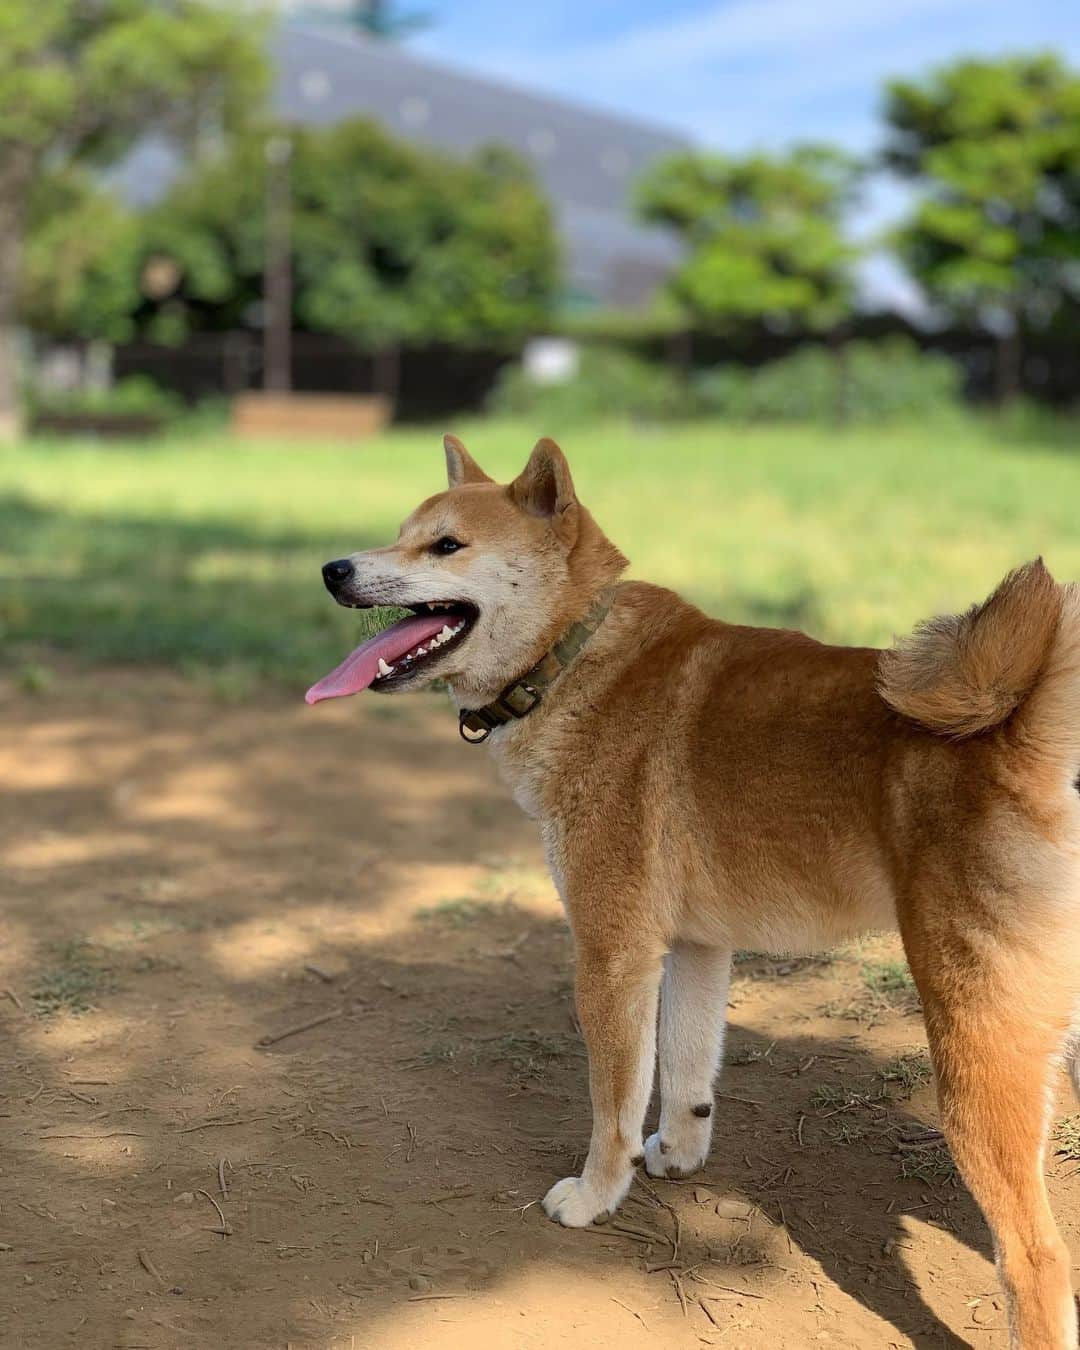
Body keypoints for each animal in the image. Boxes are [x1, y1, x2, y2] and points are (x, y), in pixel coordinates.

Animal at [306, 437, 1080, 1344]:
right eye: (402, 535)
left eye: (447, 546)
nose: (332, 569)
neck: (573, 655)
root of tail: (1023, 735)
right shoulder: (699, 945)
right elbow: (683, 1070)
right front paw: (675, 1155)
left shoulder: (613, 953)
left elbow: (614, 1100)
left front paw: (597, 1195)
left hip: (973, 1049)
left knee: (1036, 1257)